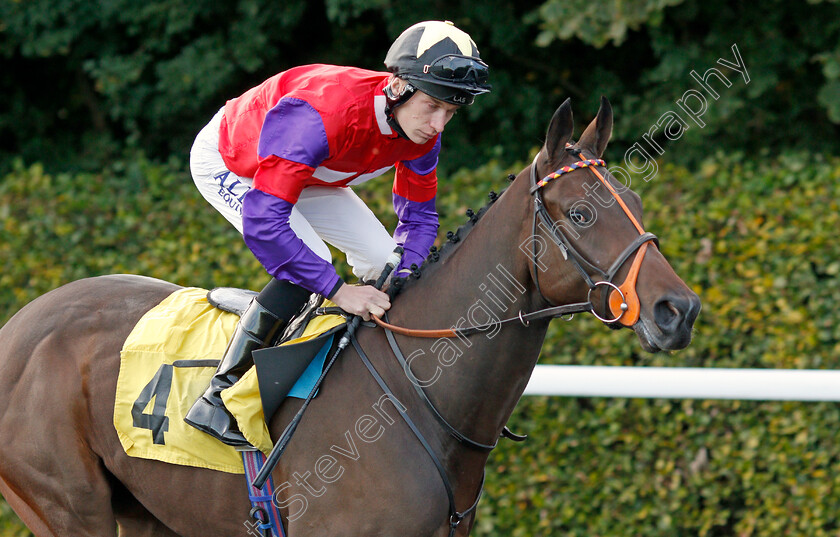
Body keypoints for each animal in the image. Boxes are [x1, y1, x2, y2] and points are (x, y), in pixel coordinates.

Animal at [0, 97, 700, 536]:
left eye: (636, 203)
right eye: (581, 214)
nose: (680, 310)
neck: (419, 400)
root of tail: (20, 324)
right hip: (68, 507)